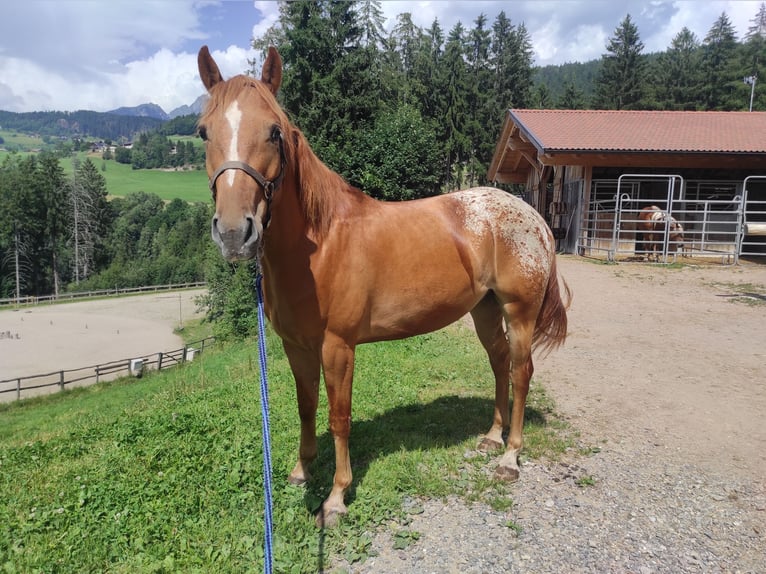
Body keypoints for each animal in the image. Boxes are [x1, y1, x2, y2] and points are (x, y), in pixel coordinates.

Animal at [196, 47, 568, 528]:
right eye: (204, 132)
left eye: (275, 132)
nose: (233, 233)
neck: (320, 243)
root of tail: (533, 217)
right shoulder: (296, 346)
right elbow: (305, 407)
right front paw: (301, 470)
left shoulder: (338, 347)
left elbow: (339, 417)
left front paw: (336, 496)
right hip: (485, 310)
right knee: (499, 363)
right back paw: (491, 437)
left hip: (519, 312)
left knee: (521, 372)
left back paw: (510, 457)